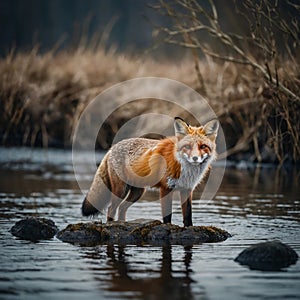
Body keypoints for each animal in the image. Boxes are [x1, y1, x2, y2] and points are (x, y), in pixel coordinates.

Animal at [81, 117, 218, 225]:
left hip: (137, 192)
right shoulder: (166, 188)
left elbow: (188, 216)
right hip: (121, 190)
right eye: (187, 147)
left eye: (203, 146)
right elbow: (167, 217)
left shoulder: (187, 189)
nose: (195, 158)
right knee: (111, 209)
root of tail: (111, 148)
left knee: (121, 209)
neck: (185, 170)